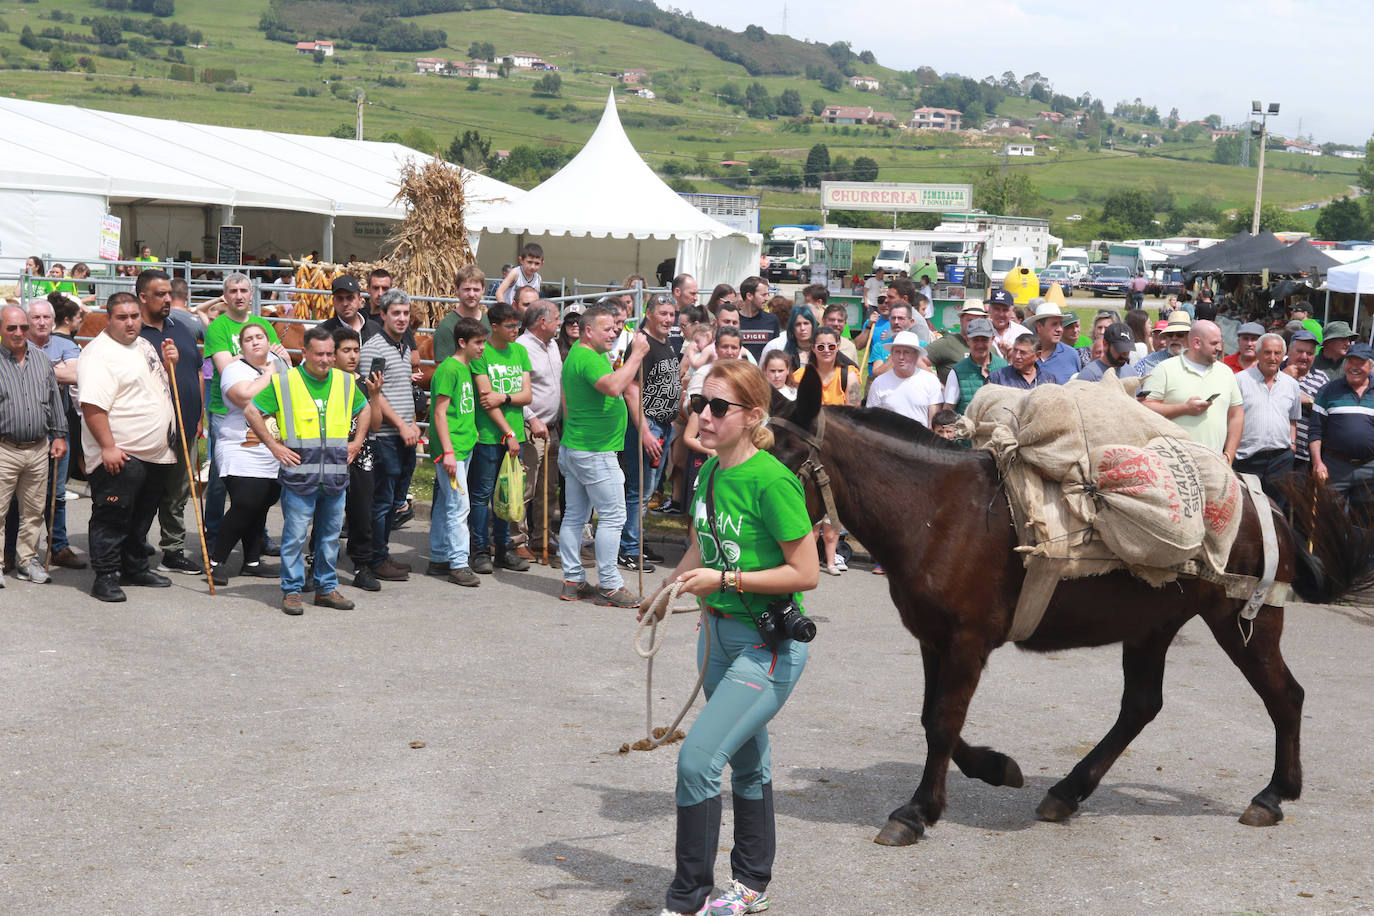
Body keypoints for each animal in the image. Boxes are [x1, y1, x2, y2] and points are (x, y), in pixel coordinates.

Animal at [769, 365, 1368, 845]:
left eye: (785, 457)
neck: (938, 512)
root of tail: (1262, 502)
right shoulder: (934, 639)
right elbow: (931, 718)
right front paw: (997, 768)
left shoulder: (966, 641)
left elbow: (941, 721)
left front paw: (917, 812)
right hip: (1152, 626)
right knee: (1141, 705)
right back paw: (1069, 789)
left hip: (1243, 621)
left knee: (1285, 696)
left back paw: (1274, 794)